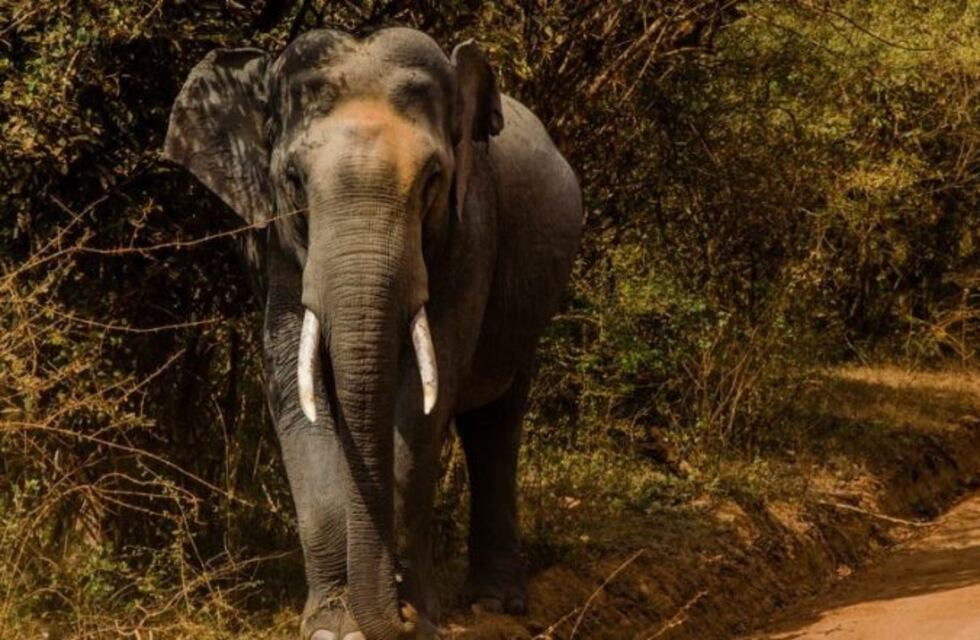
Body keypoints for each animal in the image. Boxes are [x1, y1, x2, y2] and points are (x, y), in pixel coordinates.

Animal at [163, 27, 582, 640]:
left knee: (496, 422)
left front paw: (417, 618)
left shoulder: (471, 230)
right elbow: (295, 391)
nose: (400, 615)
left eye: (433, 179)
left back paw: (495, 606)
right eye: (292, 180)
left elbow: (424, 402)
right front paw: (332, 626)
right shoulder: (277, 245)